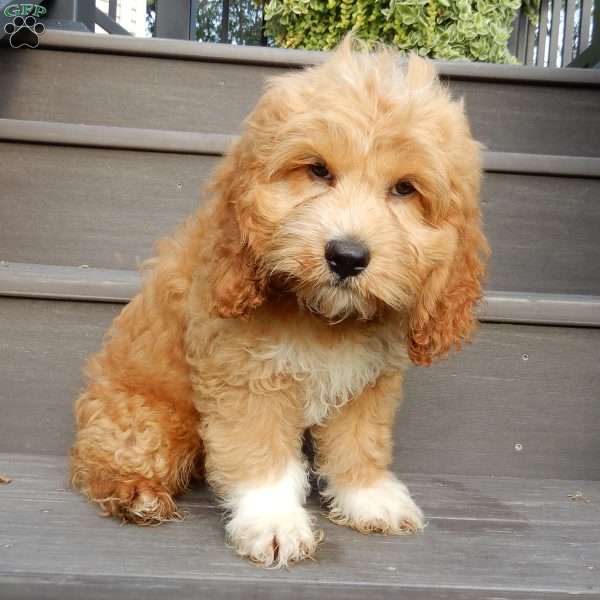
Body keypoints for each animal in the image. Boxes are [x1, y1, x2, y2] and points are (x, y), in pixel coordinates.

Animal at [72, 38, 490, 568]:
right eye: (317, 170)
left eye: (404, 189)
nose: (347, 256)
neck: (323, 317)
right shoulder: (245, 375)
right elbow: (261, 454)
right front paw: (274, 522)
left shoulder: (367, 382)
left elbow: (359, 442)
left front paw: (367, 495)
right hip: (149, 417)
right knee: (106, 455)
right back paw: (137, 493)